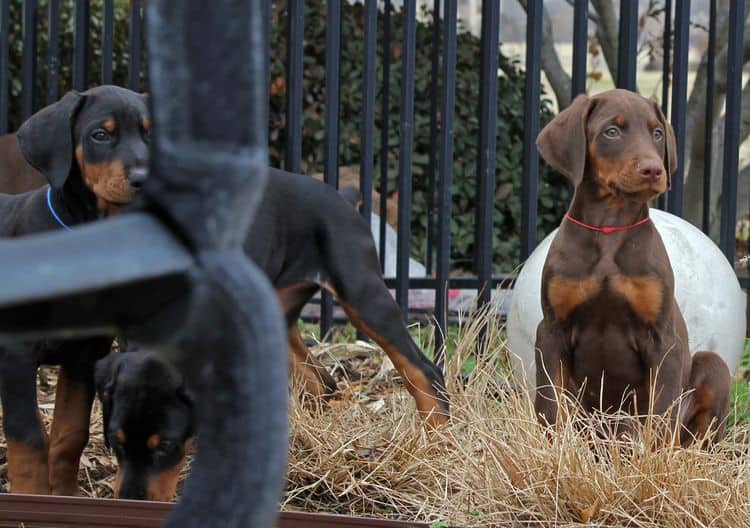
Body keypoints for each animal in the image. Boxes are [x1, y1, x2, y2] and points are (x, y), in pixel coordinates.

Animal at [0, 83, 149, 496]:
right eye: (100, 135)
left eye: (150, 134)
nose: (145, 178)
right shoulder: (16, 350)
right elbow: (28, 440)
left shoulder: (85, 353)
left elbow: (69, 435)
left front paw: (63, 495)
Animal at [92, 168, 446, 500]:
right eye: (114, 439)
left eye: (166, 445)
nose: (130, 501)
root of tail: (342, 197)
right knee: (321, 380)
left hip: (362, 291)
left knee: (423, 368)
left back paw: (439, 442)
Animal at [536, 89, 736, 446]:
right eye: (611, 132)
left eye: (657, 133)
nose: (653, 169)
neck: (610, 227)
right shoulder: (551, 329)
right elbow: (548, 405)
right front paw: (552, 450)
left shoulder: (662, 338)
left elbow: (661, 413)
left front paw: (654, 459)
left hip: (712, 368)